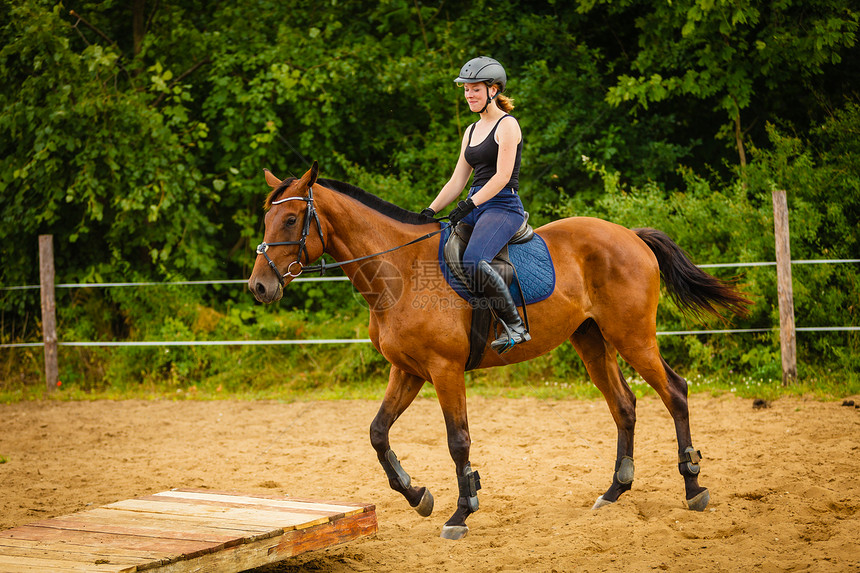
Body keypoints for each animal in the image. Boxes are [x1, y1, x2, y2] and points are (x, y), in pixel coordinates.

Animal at [245, 163, 748, 540]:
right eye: (268, 220)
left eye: (291, 220)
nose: (259, 287)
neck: (399, 270)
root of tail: (631, 234)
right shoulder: (407, 371)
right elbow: (378, 433)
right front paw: (418, 495)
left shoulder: (445, 370)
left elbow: (458, 440)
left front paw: (461, 511)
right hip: (592, 340)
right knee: (624, 405)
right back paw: (613, 492)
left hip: (632, 337)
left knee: (675, 392)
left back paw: (693, 487)